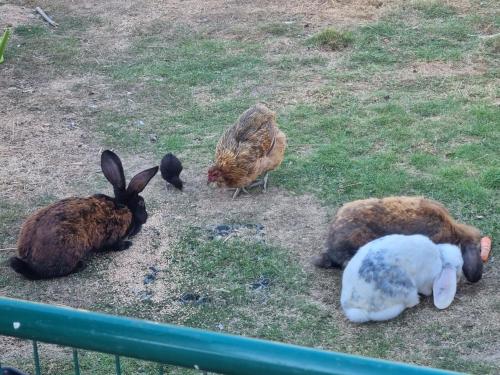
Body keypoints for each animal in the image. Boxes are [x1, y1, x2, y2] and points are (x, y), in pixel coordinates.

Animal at [9, 150, 158, 280]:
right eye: (141, 203)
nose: (146, 217)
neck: (124, 206)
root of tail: (29, 262)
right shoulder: (112, 237)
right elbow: (113, 246)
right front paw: (127, 244)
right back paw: (80, 265)